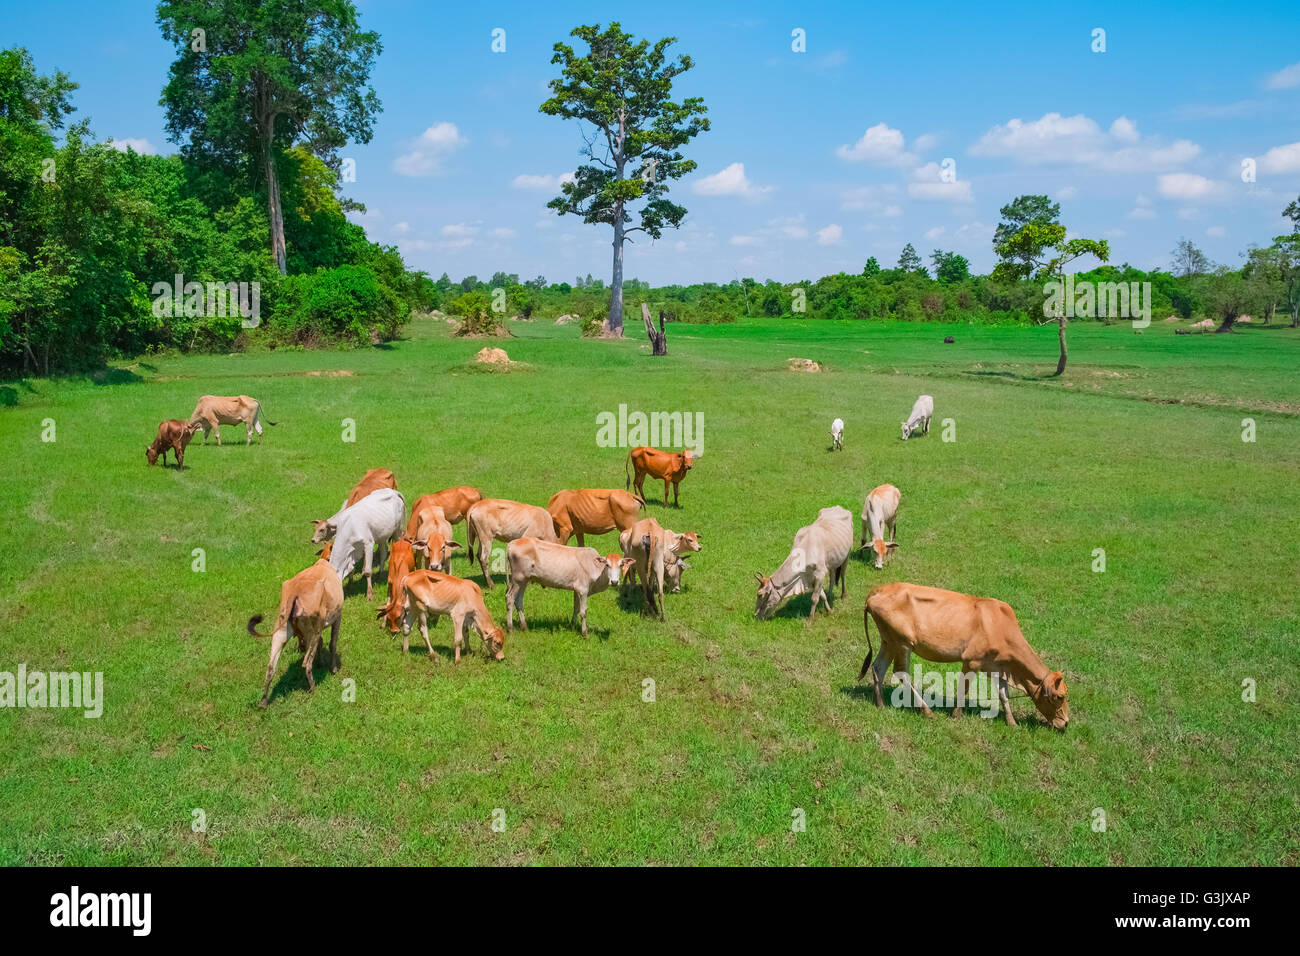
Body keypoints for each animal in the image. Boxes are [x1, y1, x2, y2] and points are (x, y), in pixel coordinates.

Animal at [248, 558, 343, 708]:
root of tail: (294, 593)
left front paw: (321, 662)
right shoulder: (337, 616)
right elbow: (333, 644)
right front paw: (333, 669)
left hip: (281, 630)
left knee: (270, 668)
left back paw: (263, 702)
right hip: (313, 631)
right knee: (306, 663)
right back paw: (313, 688)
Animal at [857, 582, 1070, 730]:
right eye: (1060, 696)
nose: (1066, 723)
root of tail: (877, 591)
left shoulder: (998, 667)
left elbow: (1004, 694)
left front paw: (1012, 722)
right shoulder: (972, 661)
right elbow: (963, 689)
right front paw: (956, 715)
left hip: (888, 640)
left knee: (878, 668)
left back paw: (880, 704)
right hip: (902, 642)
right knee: (901, 673)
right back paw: (927, 711)